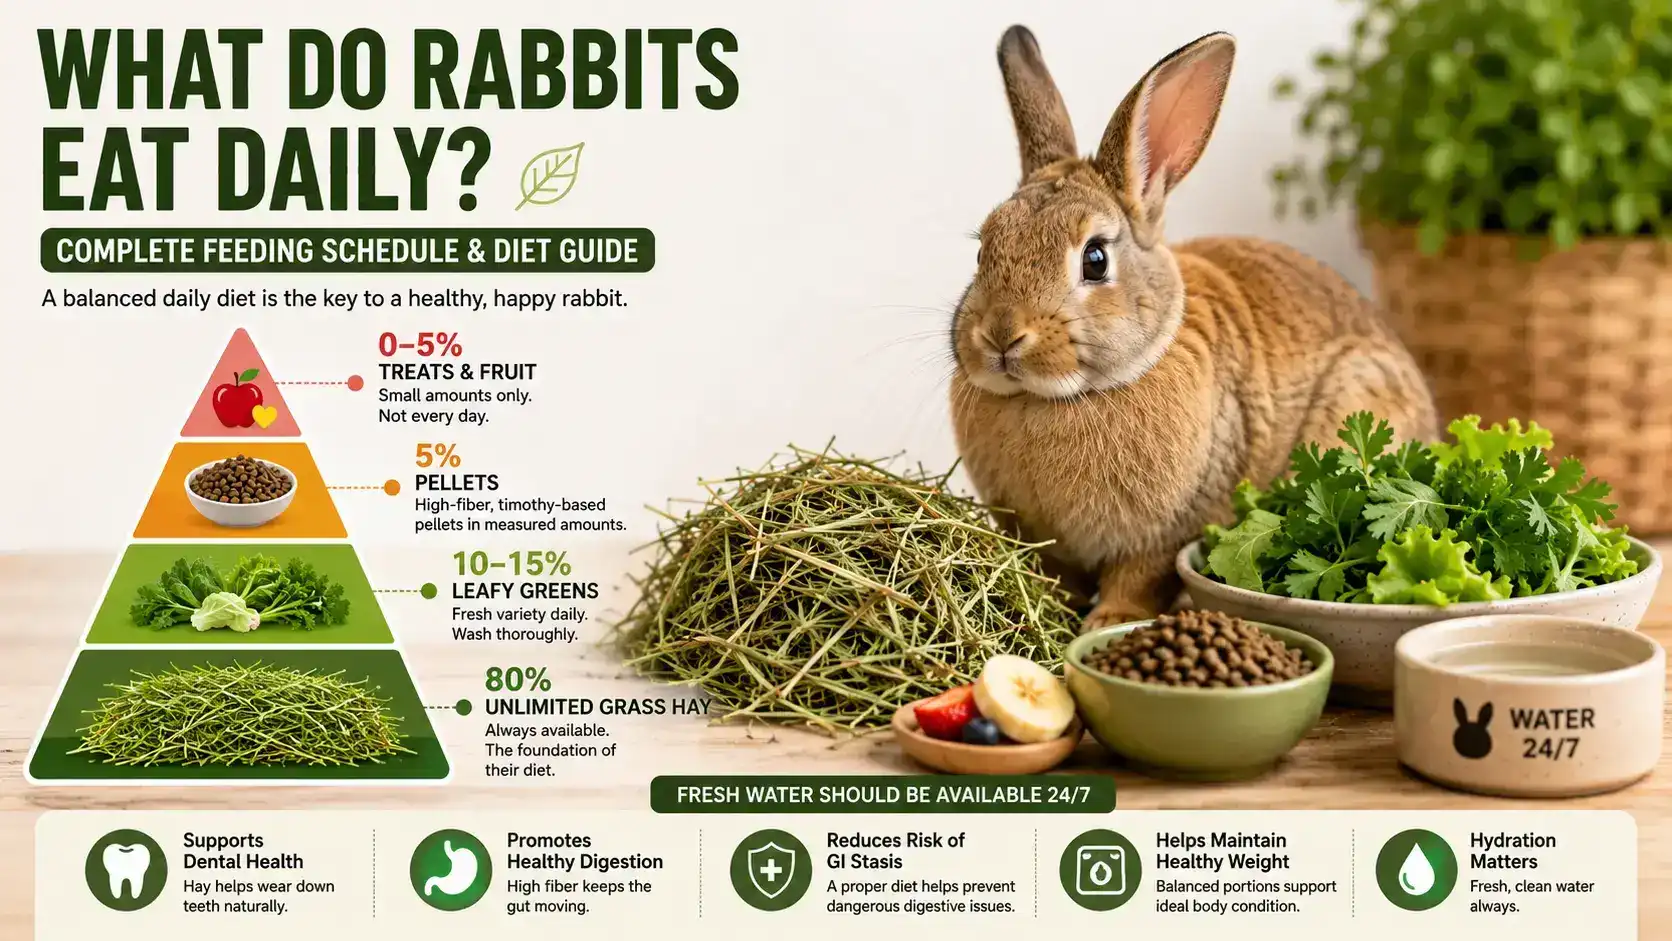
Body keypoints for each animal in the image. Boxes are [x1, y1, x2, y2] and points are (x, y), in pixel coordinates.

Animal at [948, 26, 1438, 629]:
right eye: (983, 251)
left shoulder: (1169, 531)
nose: (1000, 336)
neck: (1051, 399)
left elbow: (1139, 578)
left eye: (1095, 259)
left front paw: (1108, 622)